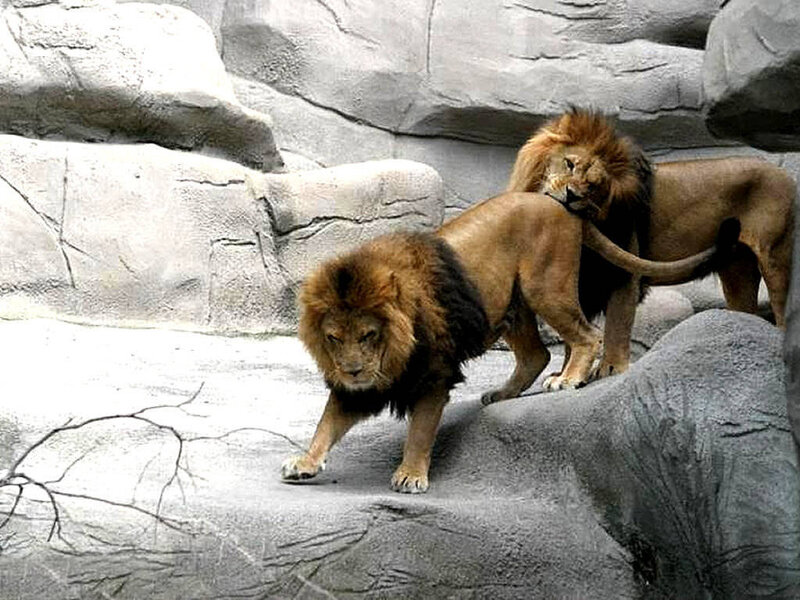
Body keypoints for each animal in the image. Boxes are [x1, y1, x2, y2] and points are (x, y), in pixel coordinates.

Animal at [280, 191, 738, 494]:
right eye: (333, 338)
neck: (393, 352)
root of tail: (557, 202)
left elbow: (421, 430)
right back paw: (502, 393)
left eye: (369, 335)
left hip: (544, 286)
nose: (353, 370)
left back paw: (569, 379)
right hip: (510, 306)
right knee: (537, 354)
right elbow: (326, 423)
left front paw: (411, 474)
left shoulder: (434, 376)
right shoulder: (357, 389)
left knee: (586, 335)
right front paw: (305, 462)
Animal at [507, 108, 796, 378]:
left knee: (782, 306)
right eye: (569, 164)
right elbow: (574, 328)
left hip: (775, 256)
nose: (571, 195)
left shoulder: (623, 271)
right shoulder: (582, 278)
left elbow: (617, 322)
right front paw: (566, 374)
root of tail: (786, 175)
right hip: (737, 269)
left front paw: (610, 368)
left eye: (593, 186)